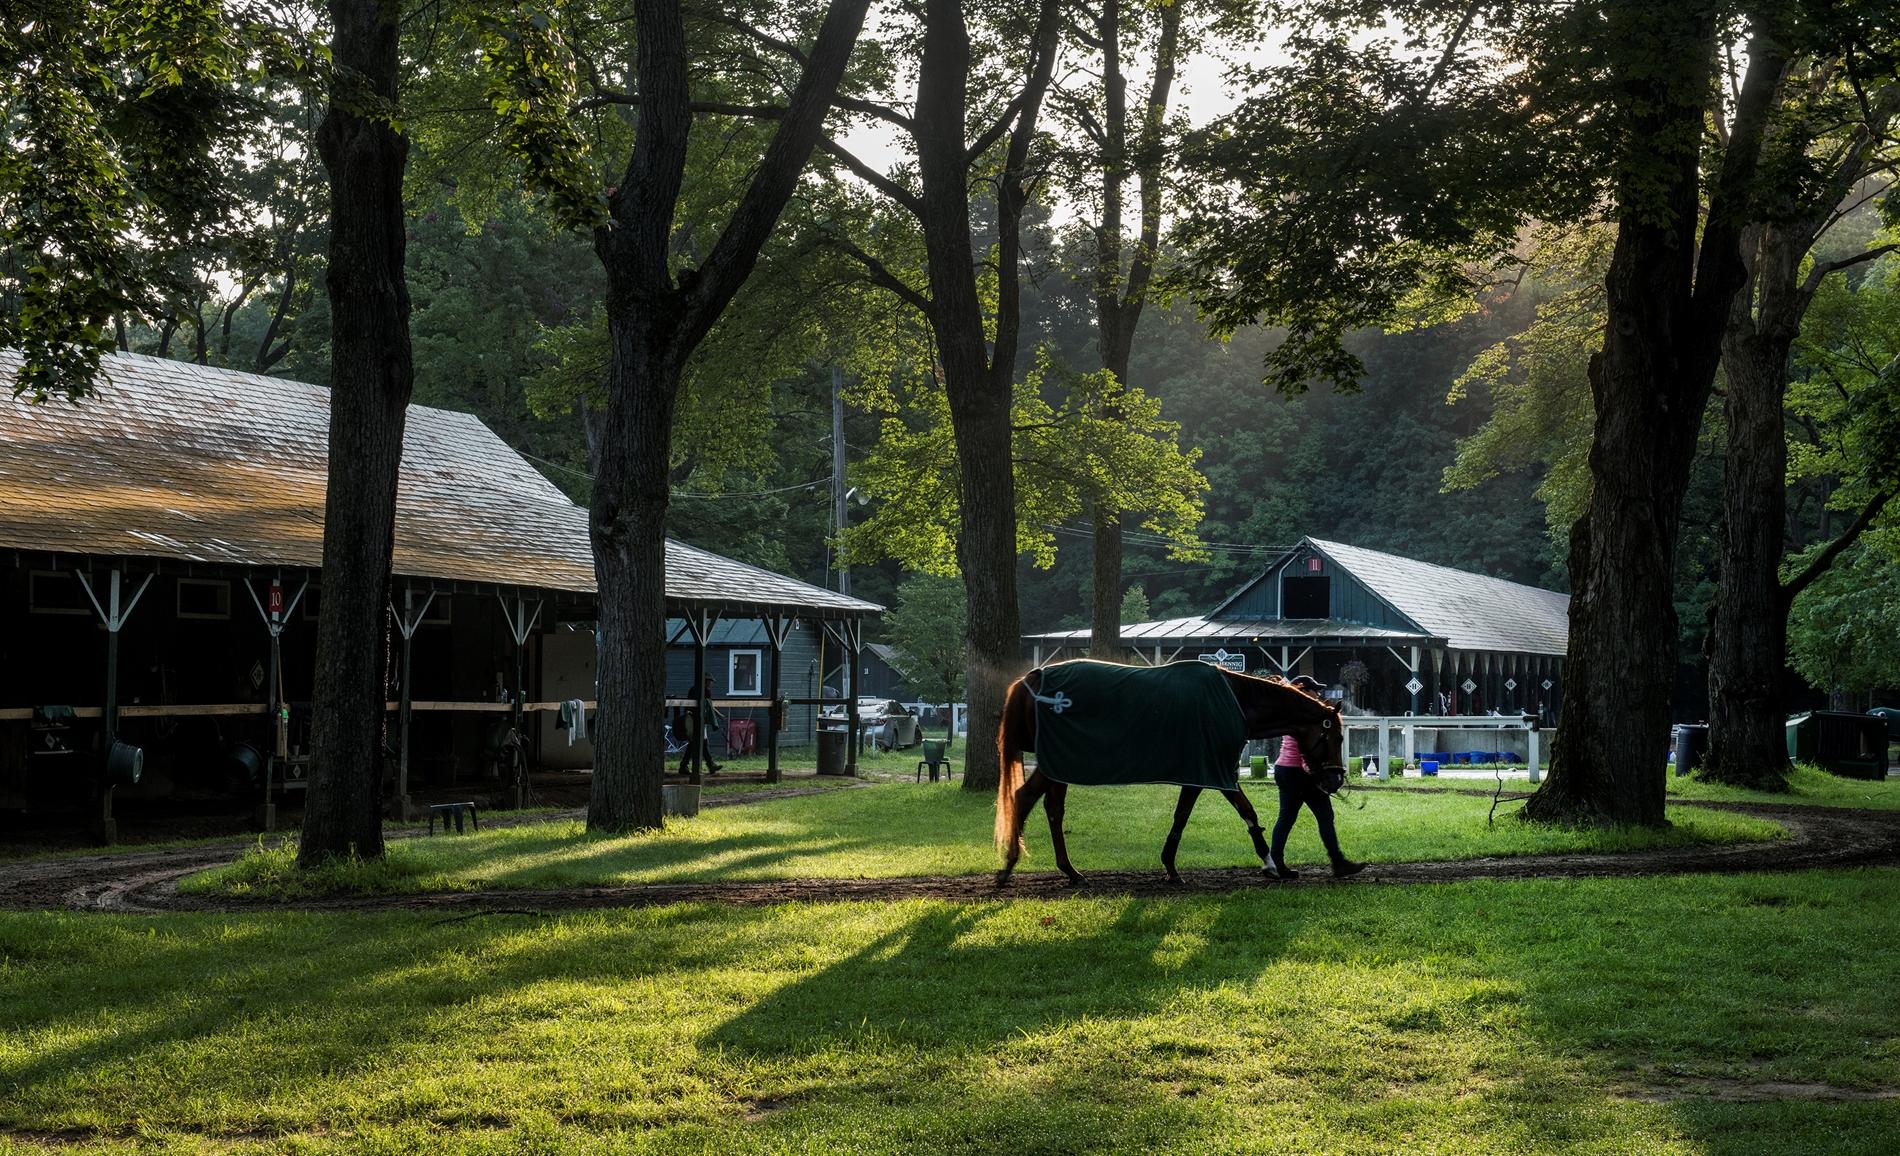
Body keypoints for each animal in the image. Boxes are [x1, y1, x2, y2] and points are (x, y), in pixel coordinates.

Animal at [995, 657, 1352, 886]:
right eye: (1337, 737)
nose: (1335, 780)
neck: (1237, 700)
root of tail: (1034, 677)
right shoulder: (1212, 770)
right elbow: (1239, 812)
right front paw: (1270, 864)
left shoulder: (1204, 772)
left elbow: (1190, 814)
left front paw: (1170, 866)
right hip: (1055, 764)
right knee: (1024, 798)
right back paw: (1008, 868)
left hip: (1058, 764)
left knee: (1053, 810)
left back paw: (1070, 872)